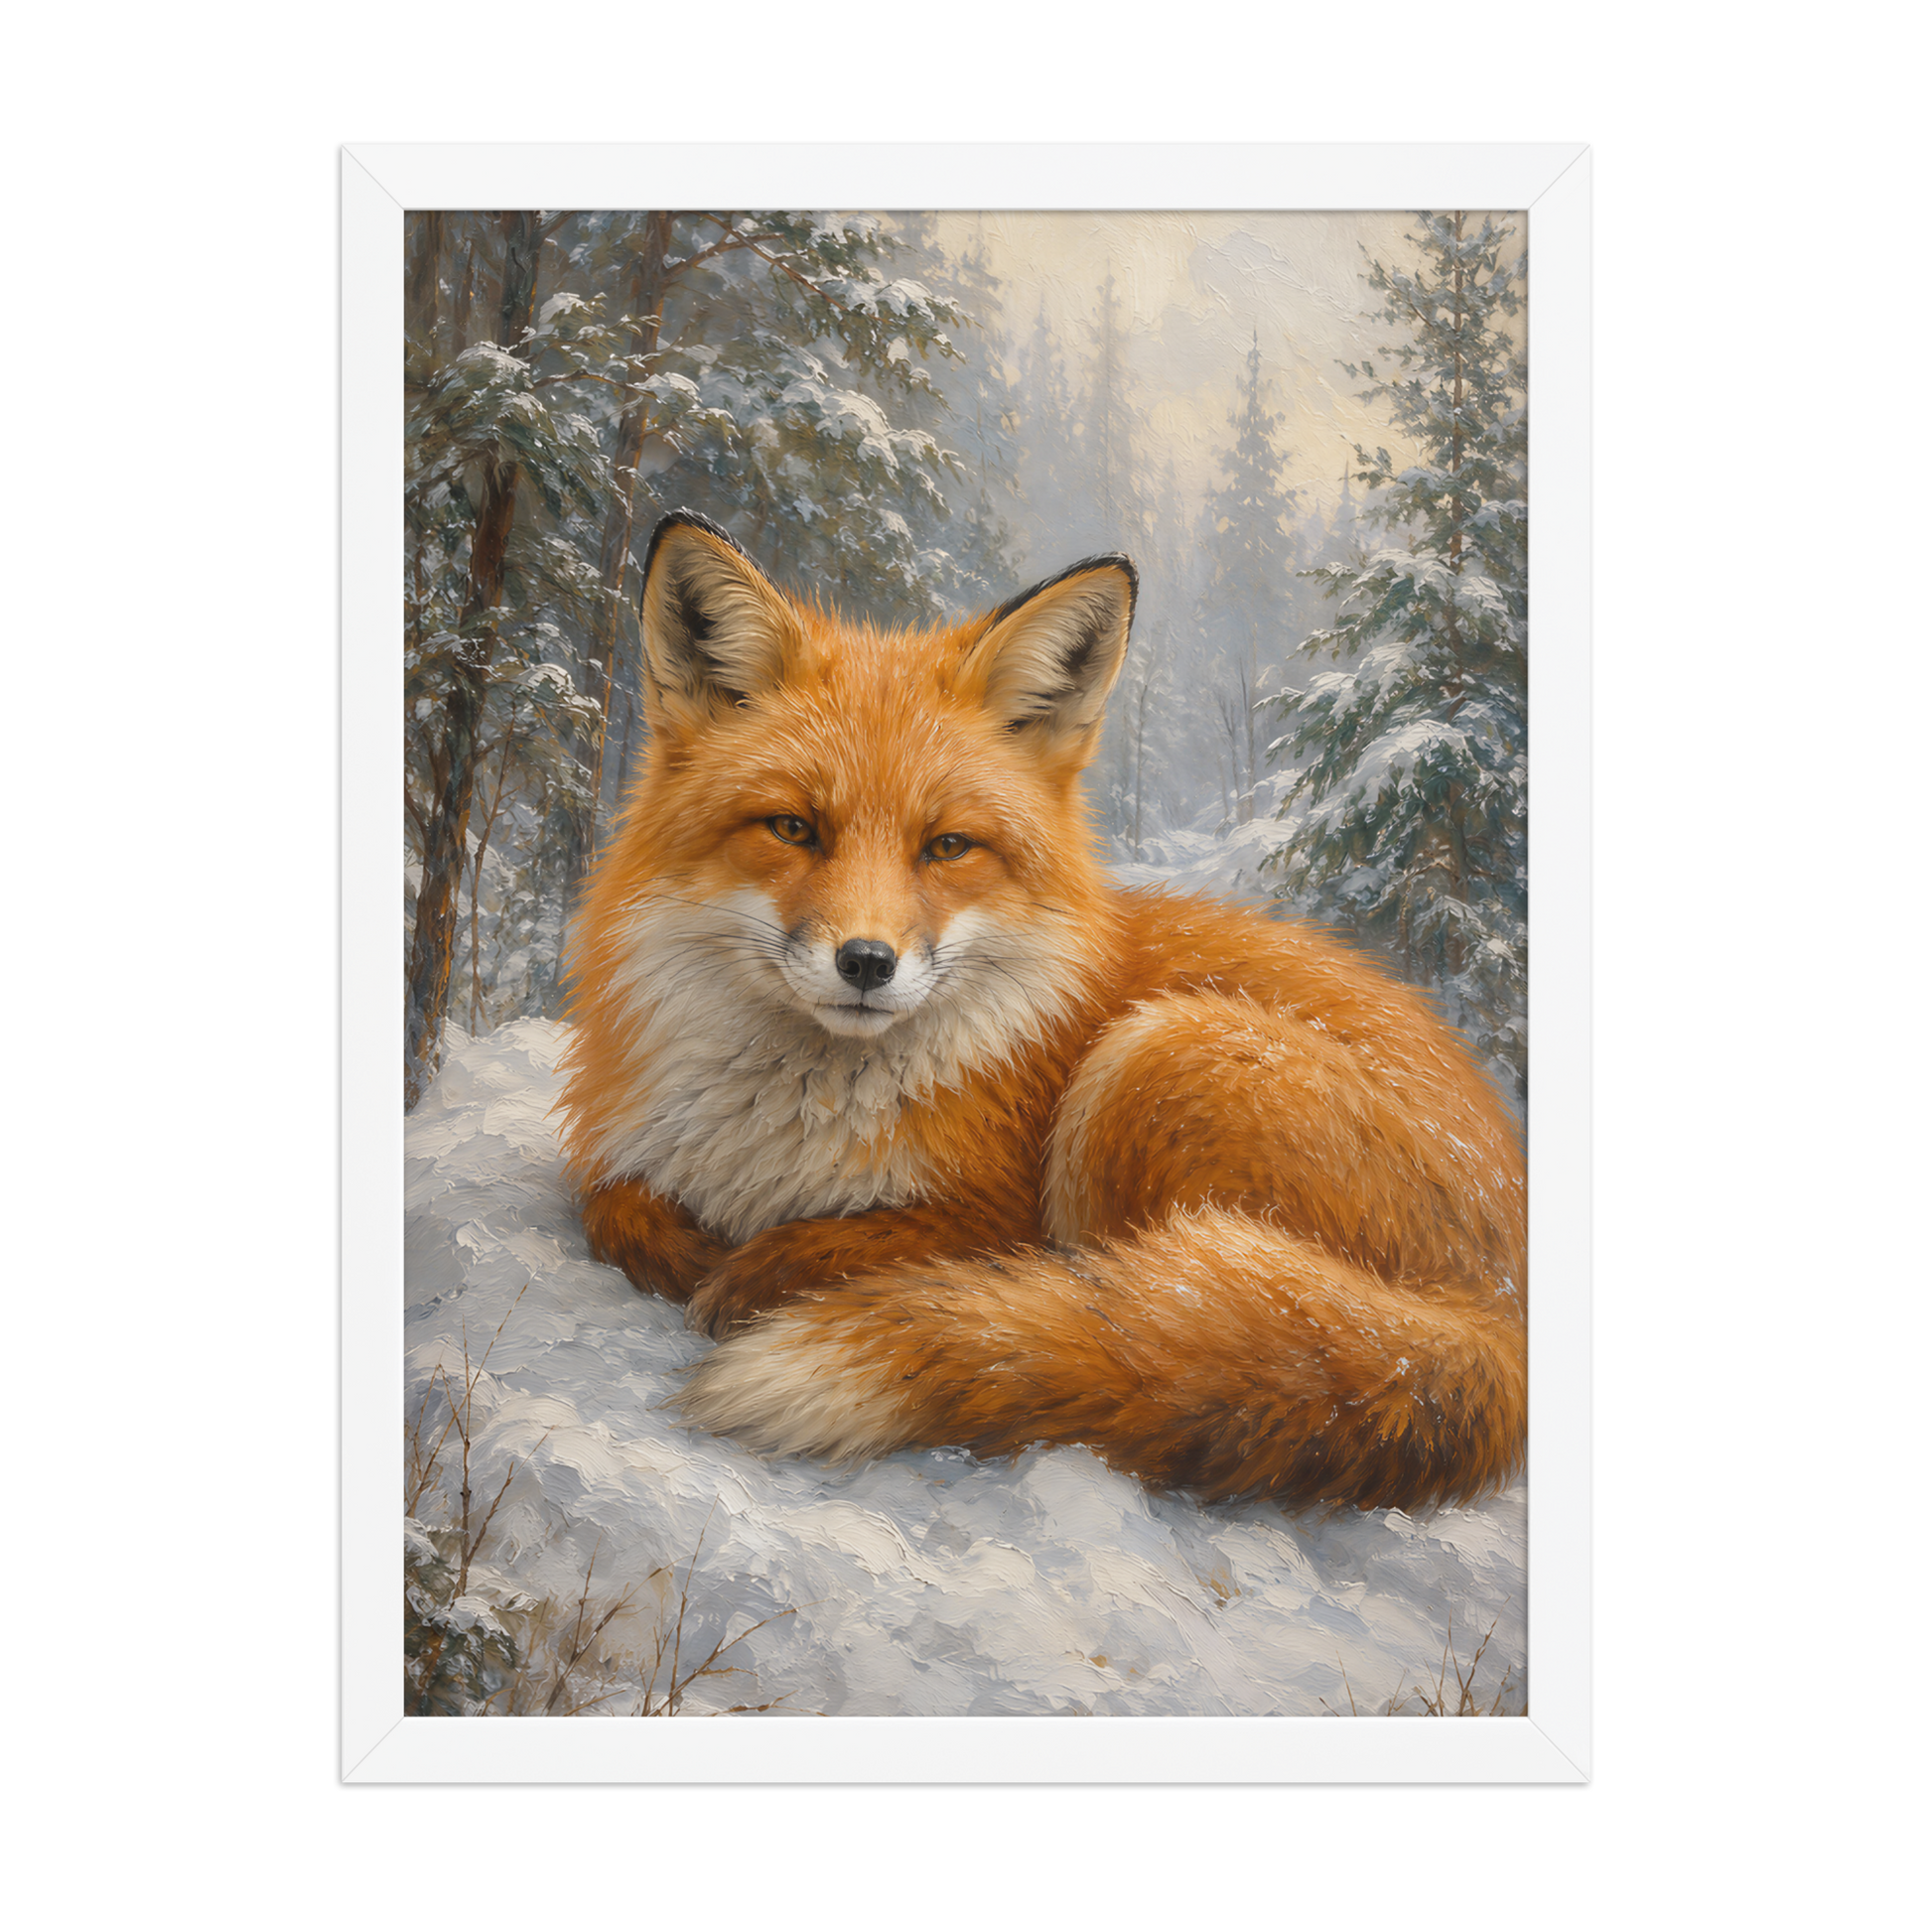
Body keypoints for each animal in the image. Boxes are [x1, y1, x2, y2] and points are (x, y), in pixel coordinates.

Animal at [556, 509, 1526, 1513]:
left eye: (947, 846)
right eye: (793, 828)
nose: (866, 962)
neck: (782, 1131)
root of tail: (1504, 1308)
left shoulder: (996, 1210)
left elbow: (874, 1242)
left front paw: (760, 1272)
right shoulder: (628, 1153)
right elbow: (611, 1204)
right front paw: (685, 1250)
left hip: (1155, 1057)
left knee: (1136, 1311)